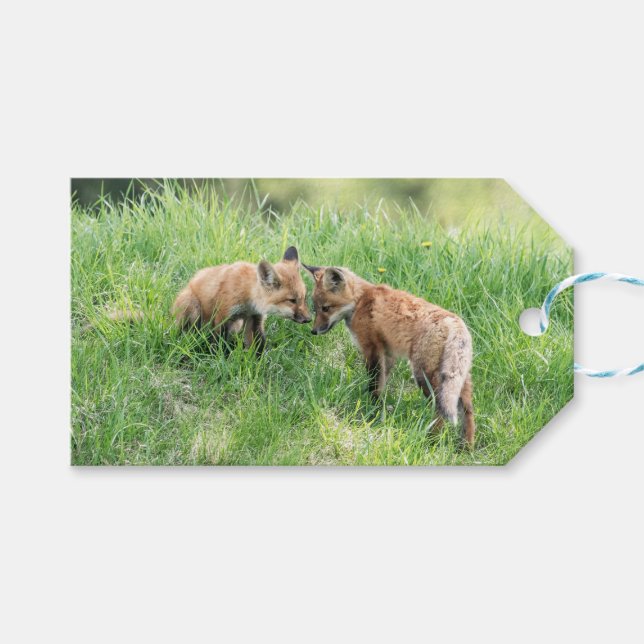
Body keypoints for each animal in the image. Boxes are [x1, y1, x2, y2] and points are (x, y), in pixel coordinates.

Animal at [171, 246, 312, 352]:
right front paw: (218, 358)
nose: (309, 319)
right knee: (188, 332)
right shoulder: (223, 316)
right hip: (192, 307)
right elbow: (219, 344)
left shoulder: (255, 318)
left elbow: (258, 346)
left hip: (236, 325)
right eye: (292, 300)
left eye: (304, 298)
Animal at [303, 264, 475, 446]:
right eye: (315, 308)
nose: (313, 331)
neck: (360, 301)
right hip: (458, 378)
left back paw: (432, 440)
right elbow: (381, 384)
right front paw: (379, 408)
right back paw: (466, 446)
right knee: (468, 410)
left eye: (326, 308)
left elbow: (374, 384)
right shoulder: (388, 355)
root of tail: (455, 322)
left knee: (440, 408)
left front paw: (370, 410)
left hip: (423, 375)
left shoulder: (372, 349)